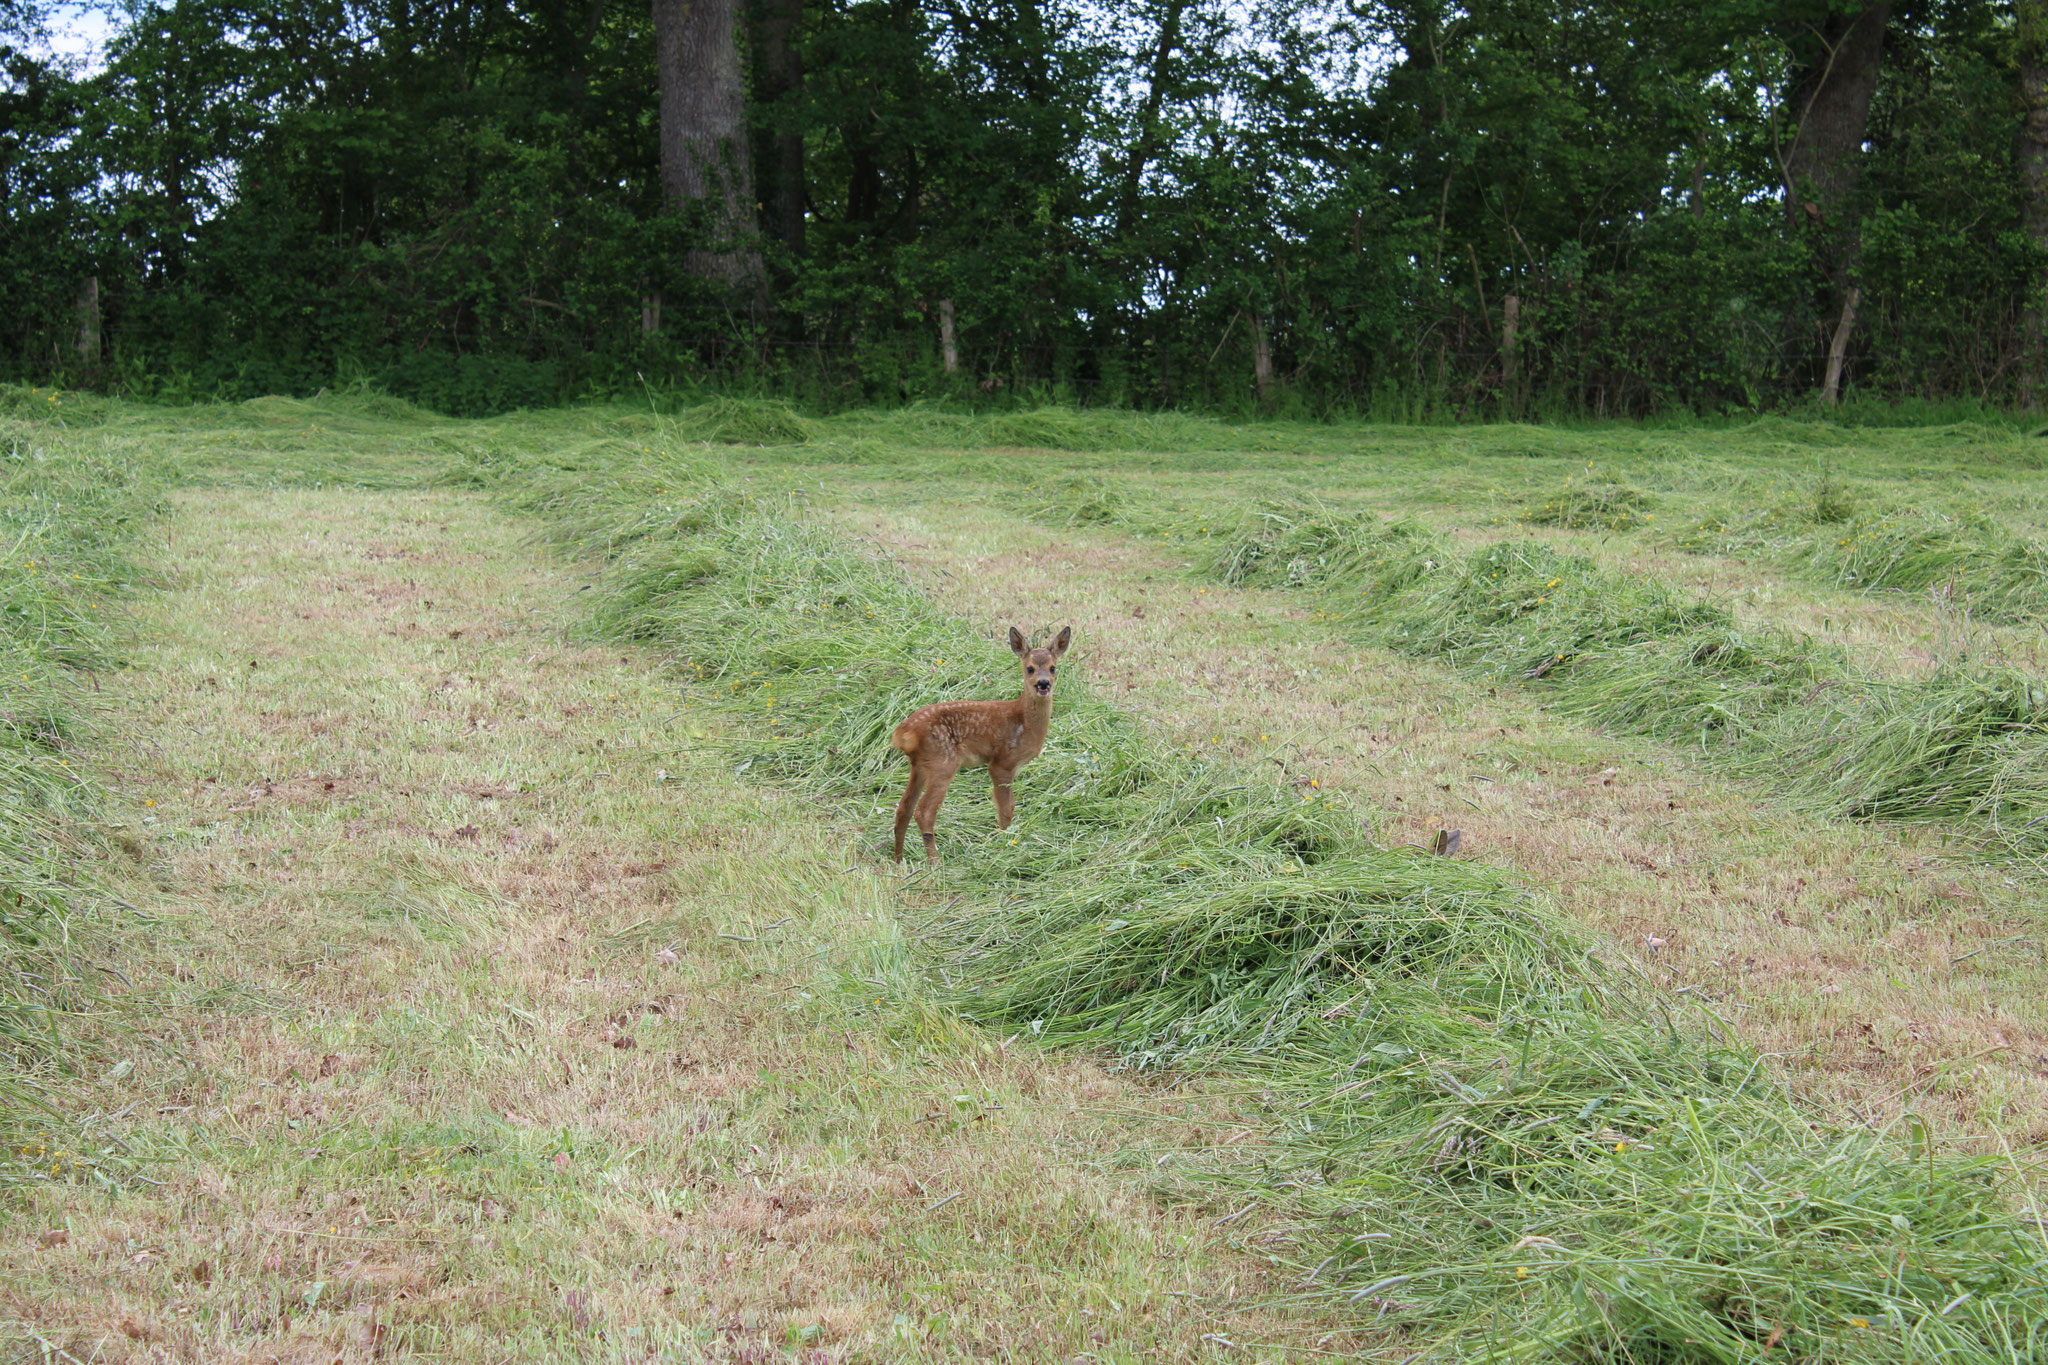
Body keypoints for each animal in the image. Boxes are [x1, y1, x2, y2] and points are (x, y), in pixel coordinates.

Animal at [892, 626, 1081, 863]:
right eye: (1030, 668)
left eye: (1053, 667)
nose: (1043, 683)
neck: (1024, 721)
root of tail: (905, 732)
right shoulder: (1002, 762)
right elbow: (1006, 809)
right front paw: (1005, 845)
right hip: (942, 762)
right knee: (924, 812)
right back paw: (935, 862)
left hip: (919, 766)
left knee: (903, 809)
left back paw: (898, 860)